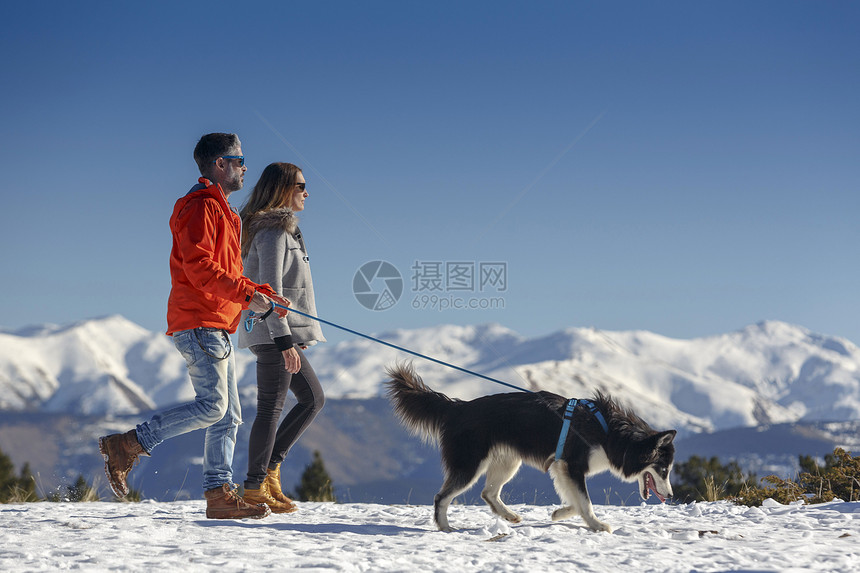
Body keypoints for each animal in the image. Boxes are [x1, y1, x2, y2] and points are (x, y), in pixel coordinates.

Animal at [386, 362, 676, 532]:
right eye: (664, 470)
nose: (672, 496)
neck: (609, 433)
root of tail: (459, 406)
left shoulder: (562, 468)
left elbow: (576, 500)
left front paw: (559, 514)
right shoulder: (571, 465)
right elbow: (585, 501)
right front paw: (596, 524)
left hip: (507, 462)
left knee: (488, 493)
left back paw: (509, 516)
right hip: (470, 465)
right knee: (442, 497)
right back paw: (446, 527)